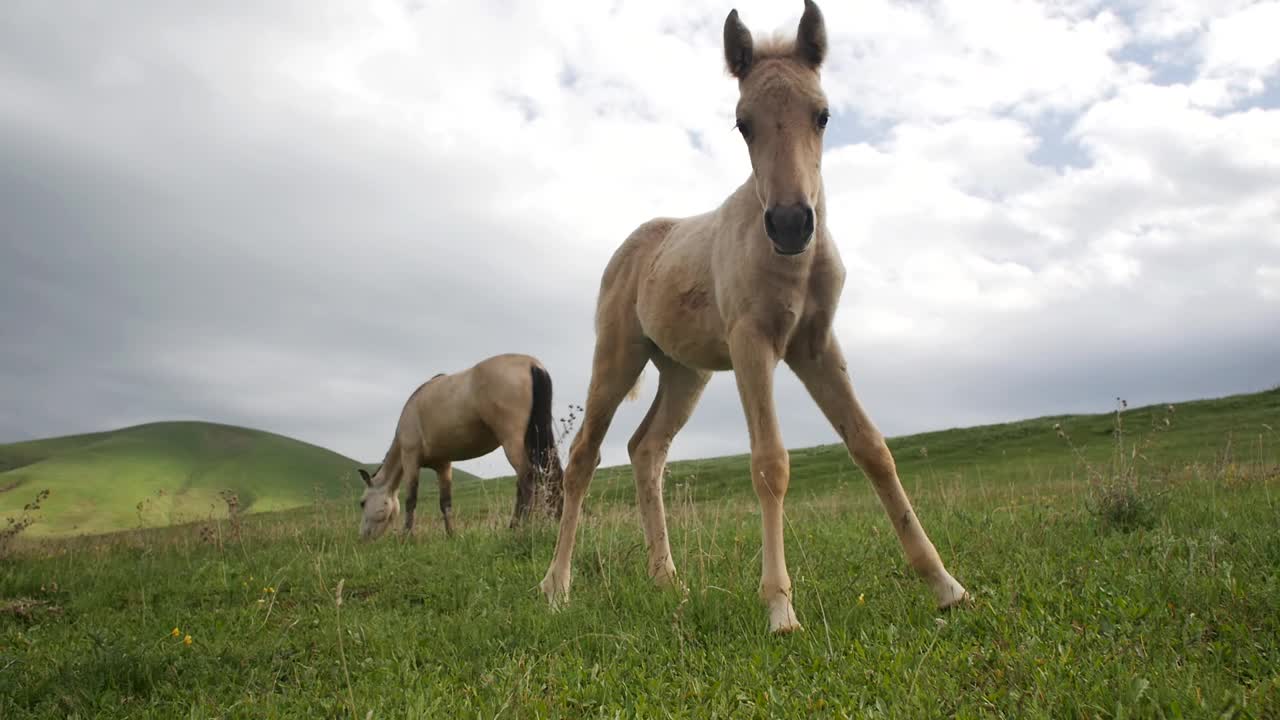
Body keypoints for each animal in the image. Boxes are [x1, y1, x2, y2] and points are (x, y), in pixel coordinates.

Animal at [358, 353, 563, 538]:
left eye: (362, 502)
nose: (363, 537)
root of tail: (532, 364)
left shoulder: (410, 458)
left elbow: (411, 499)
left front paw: (406, 536)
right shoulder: (443, 465)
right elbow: (445, 503)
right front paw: (451, 535)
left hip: (513, 442)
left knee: (526, 480)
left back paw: (518, 528)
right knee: (548, 474)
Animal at [540, 0, 967, 627]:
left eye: (823, 115)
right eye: (744, 123)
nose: (791, 224)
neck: (793, 265)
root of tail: (635, 244)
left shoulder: (815, 345)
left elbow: (872, 448)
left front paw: (945, 584)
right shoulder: (753, 344)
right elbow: (770, 462)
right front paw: (780, 608)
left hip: (685, 372)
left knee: (647, 450)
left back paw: (667, 580)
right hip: (618, 356)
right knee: (583, 458)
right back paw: (558, 586)